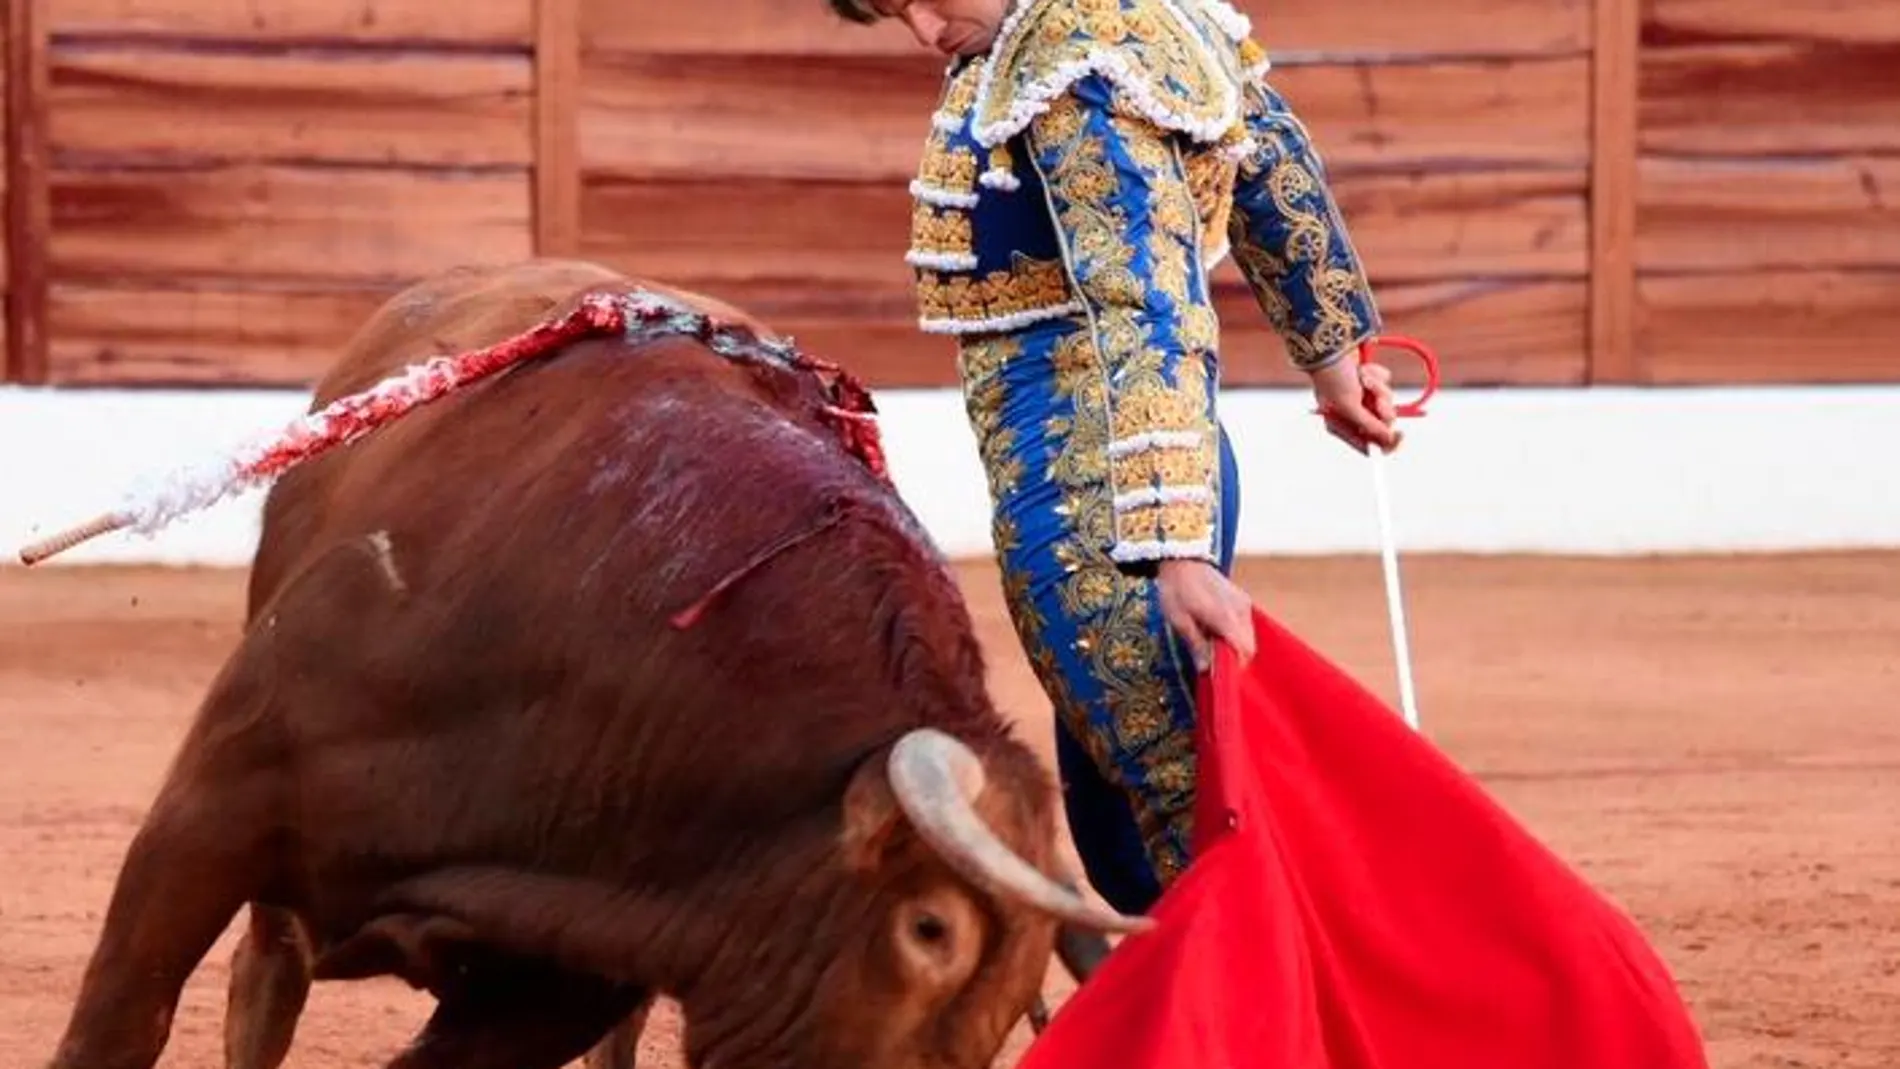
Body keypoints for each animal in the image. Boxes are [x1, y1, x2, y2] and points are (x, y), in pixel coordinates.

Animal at [48, 262, 1140, 1069]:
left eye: (1018, 994)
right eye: (929, 930)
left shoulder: (568, 981)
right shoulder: (208, 812)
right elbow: (120, 1024)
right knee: (266, 974)